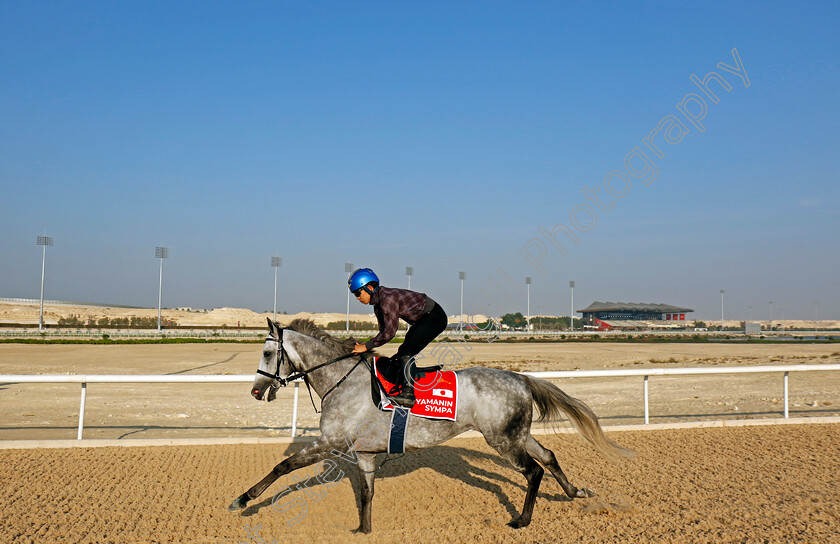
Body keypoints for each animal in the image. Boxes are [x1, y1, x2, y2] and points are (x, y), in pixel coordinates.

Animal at [230, 316, 632, 532]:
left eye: (267, 352)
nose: (255, 390)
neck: (341, 380)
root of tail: (520, 378)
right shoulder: (364, 453)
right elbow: (366, 493)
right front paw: (364, 529)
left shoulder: (331, 442)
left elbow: (284, 466)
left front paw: (243, 499)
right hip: (517, 433)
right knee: (547, 456)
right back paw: (575, 492)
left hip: (501, 439)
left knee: (533, 471)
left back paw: (522, 520)